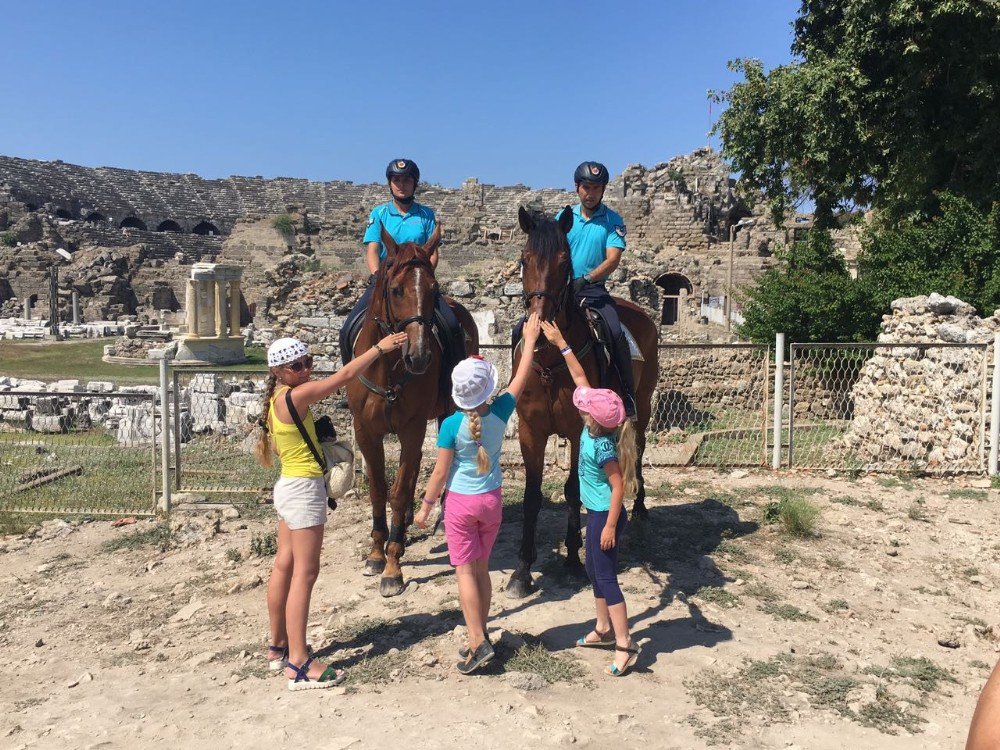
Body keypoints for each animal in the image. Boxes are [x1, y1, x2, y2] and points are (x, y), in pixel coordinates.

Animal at [348, 229, 480, 600]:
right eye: (396, 290)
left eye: (434, 289)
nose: (419, 356)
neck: (388, 368)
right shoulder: (365, 431)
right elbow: (379, 489)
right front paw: (376, 553)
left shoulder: (412, 427)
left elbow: (399, 490)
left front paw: (393, 567)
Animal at [504, 209, 660, 604]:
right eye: (524, 259)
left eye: (564, 262)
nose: (541, 326)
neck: (550, 364)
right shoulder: (530, 431)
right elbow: (532, 496)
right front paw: (522, 571)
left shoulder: (577, 430)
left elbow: (574, 490)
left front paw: (573, 559)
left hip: (644, 403)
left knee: (638, 448)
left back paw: (639, 506)